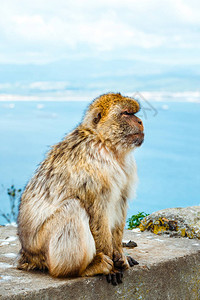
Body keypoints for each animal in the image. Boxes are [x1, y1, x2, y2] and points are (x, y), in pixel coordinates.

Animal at [17, 92, 144, 284]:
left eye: (133, 113)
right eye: (127, 113)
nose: (140, 121)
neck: (107, 144)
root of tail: (27, 254)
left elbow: (120, 203)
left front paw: (120, 255)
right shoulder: (94, 169)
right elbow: (97, 213)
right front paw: (112, 266)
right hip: (42, 248)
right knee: (73, 208)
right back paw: (84, 268)